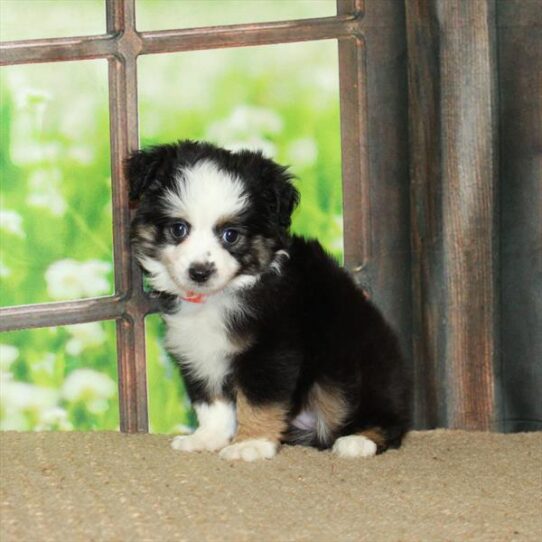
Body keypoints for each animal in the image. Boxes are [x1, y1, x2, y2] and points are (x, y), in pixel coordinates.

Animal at [125, 141, 410, 464]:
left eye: (231, 235)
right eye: (178, 229)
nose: (200, 272)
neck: (224, 293)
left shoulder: (271, 350)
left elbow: (258, 400)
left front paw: (251, 444)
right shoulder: (198, 350)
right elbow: (212, 401)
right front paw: (209, 437)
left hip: (356, 369)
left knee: (386, 418)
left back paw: (358, 441)